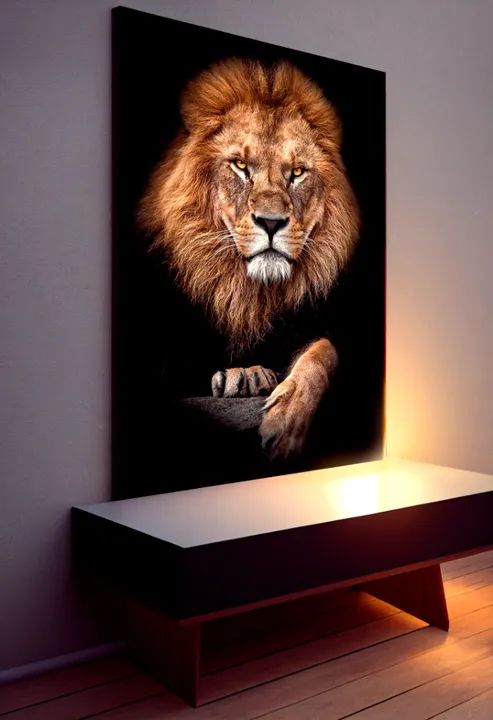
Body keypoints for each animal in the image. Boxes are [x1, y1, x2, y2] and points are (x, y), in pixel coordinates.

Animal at [138, 58, 360, 461]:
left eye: (297, 173)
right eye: (240, 166)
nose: (271, 222)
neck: (251, 294)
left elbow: (323, 352)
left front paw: (287, 418)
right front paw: (243, 374)